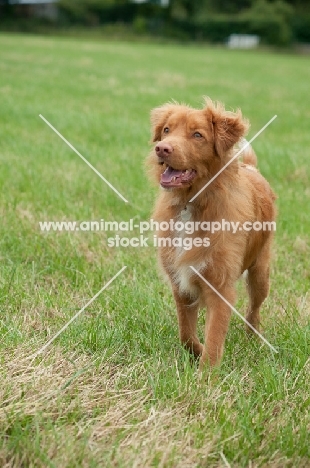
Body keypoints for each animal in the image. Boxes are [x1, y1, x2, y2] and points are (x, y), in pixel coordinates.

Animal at [148, 98, 276, 370]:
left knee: (254, 309)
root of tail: (252, 168)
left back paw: (253, 337)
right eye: (166, 130)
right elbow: (186, 333)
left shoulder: (220, 286)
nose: (161, 149)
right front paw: (197, 351)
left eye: (197, 135)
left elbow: (215, 338)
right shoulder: (180, 282)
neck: (192, 202)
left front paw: (205, 376)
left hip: (261, 273)